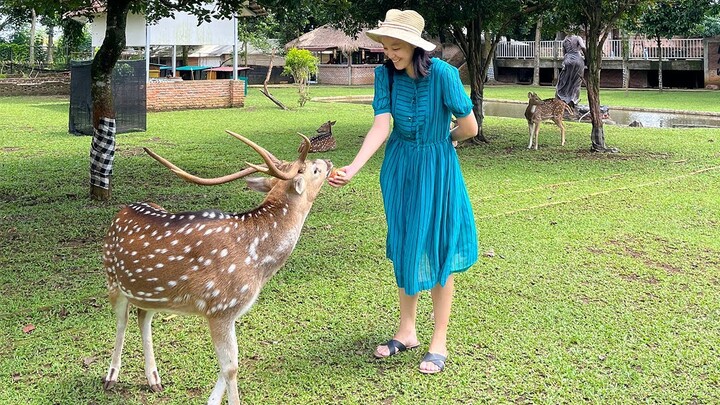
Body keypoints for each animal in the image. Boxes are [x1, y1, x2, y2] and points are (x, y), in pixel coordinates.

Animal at [102, 130, 334, 404]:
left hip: (151, 293)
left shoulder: (231, 312)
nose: (329, 162)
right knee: (121, 321)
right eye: (314, 170)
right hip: (112, 278)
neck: (258, 262)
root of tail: (122, 211)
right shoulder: (220, 307)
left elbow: (230, 363)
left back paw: (154, 380)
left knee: (142, 317)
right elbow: (231, 367)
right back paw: (110, 377)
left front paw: (210, 401)